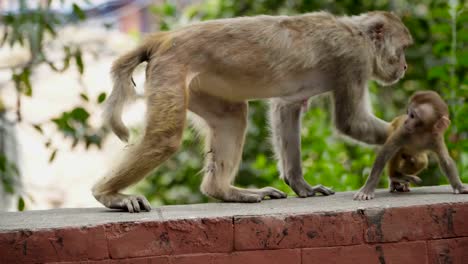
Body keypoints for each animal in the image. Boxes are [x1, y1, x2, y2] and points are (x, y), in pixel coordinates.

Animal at [93, 10, 412, 212]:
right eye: (403, 49)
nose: (406, 66)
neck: (358, 33)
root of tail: (165, 38)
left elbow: (287, 107)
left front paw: (301, 184)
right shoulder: (354, 60)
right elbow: (351, 121)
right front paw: (411, 139)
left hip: (197, 85)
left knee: (232, 116)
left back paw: (223, 190)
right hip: (171, 69)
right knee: (164, 139)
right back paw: (108, 195)